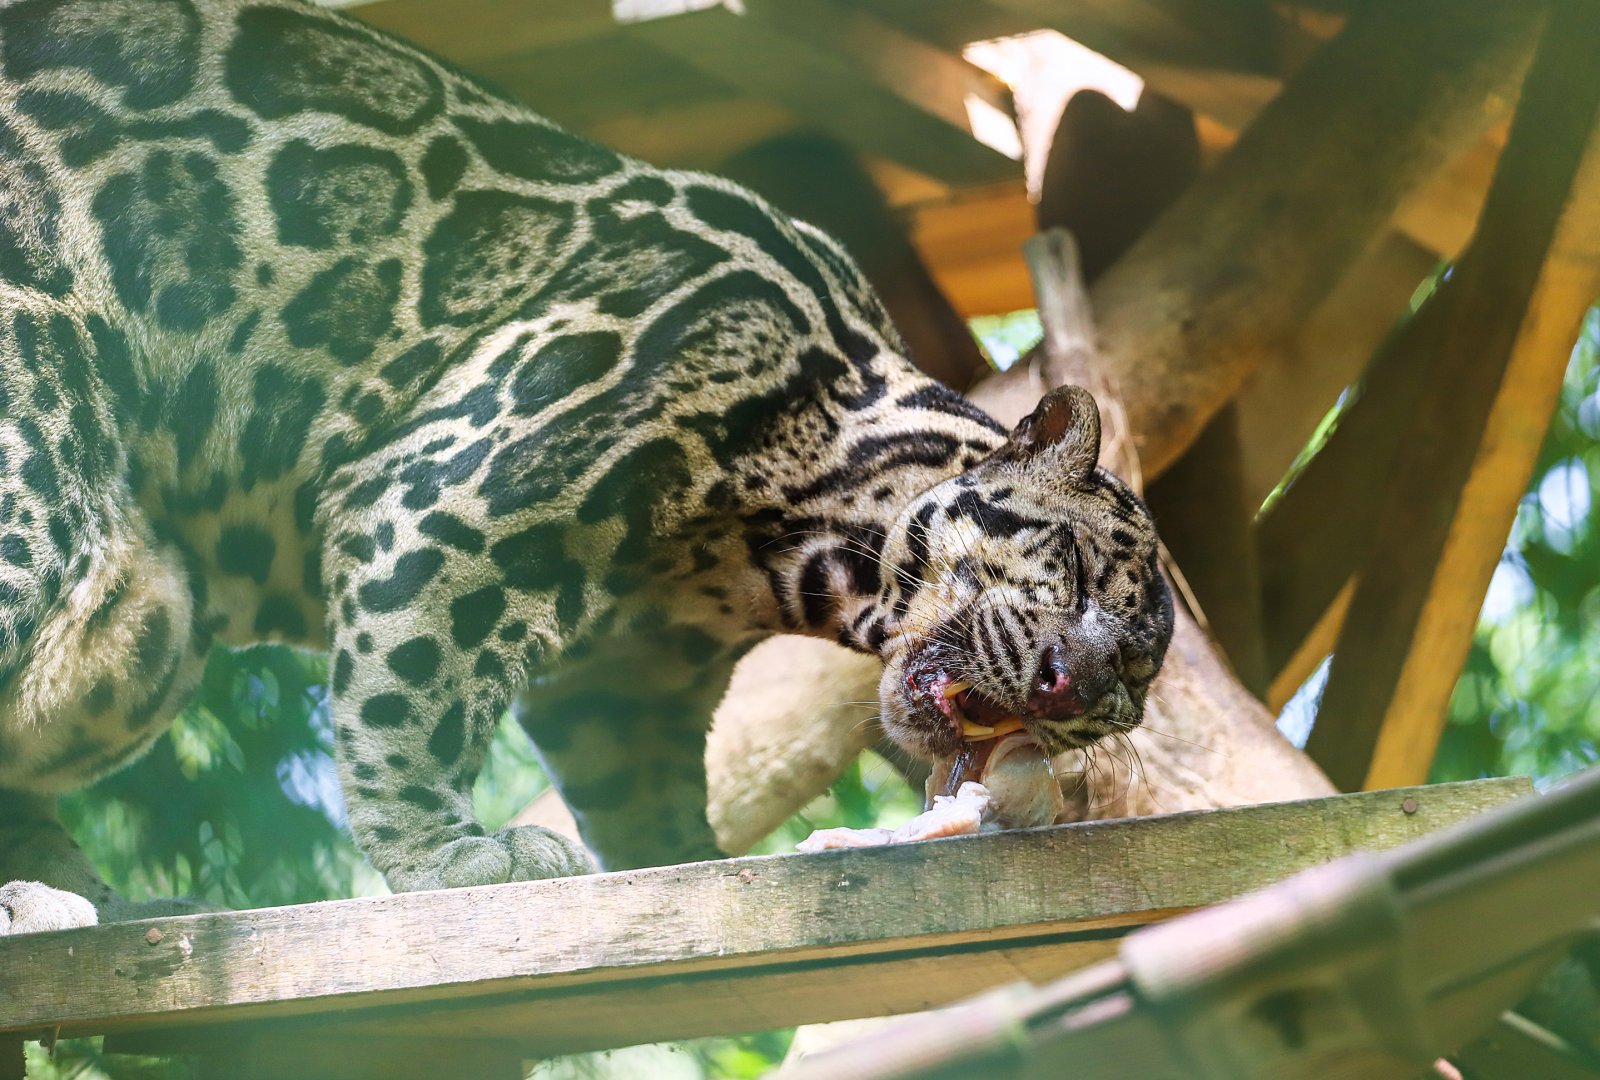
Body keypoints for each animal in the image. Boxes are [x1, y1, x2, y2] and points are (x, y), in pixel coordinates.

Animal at [0, 0, 1173, 935]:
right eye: (1071, 570)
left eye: (1129, 688)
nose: (1071, 682)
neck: (789, 557)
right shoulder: (444, 506)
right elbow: (406, 700)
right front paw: (446, 857)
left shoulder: (627, 687)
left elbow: (639, 796)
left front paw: (694, 867)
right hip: (41, 469)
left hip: (149, 621)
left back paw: (85, 899)